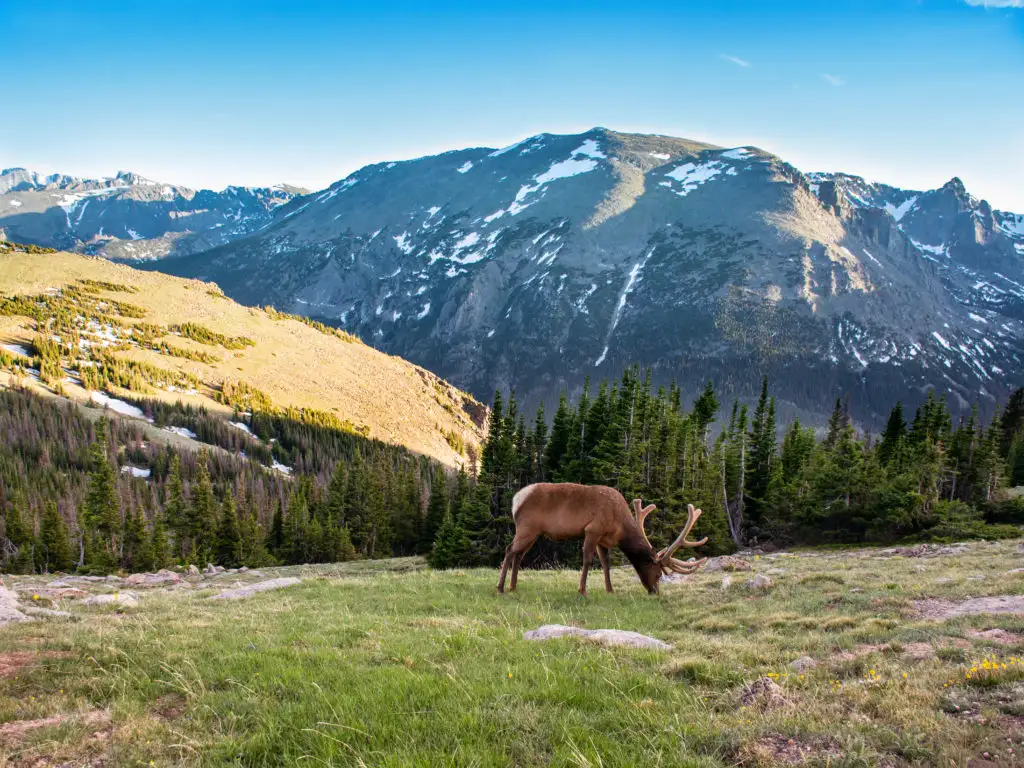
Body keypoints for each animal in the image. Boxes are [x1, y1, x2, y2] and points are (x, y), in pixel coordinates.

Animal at [497, 483, 708, 598]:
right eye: (658, 575)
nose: (655, 592)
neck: (620, 526)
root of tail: (516, 500)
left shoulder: (603, 540)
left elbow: (606, 564)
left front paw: (610, 589)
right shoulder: (592, 529)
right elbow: (588, 561)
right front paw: (582, 590)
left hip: (534, 532)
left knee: (519, 554)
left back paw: (513, 586)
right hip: (527, 527)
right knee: (509, 550)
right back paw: (500, 588)